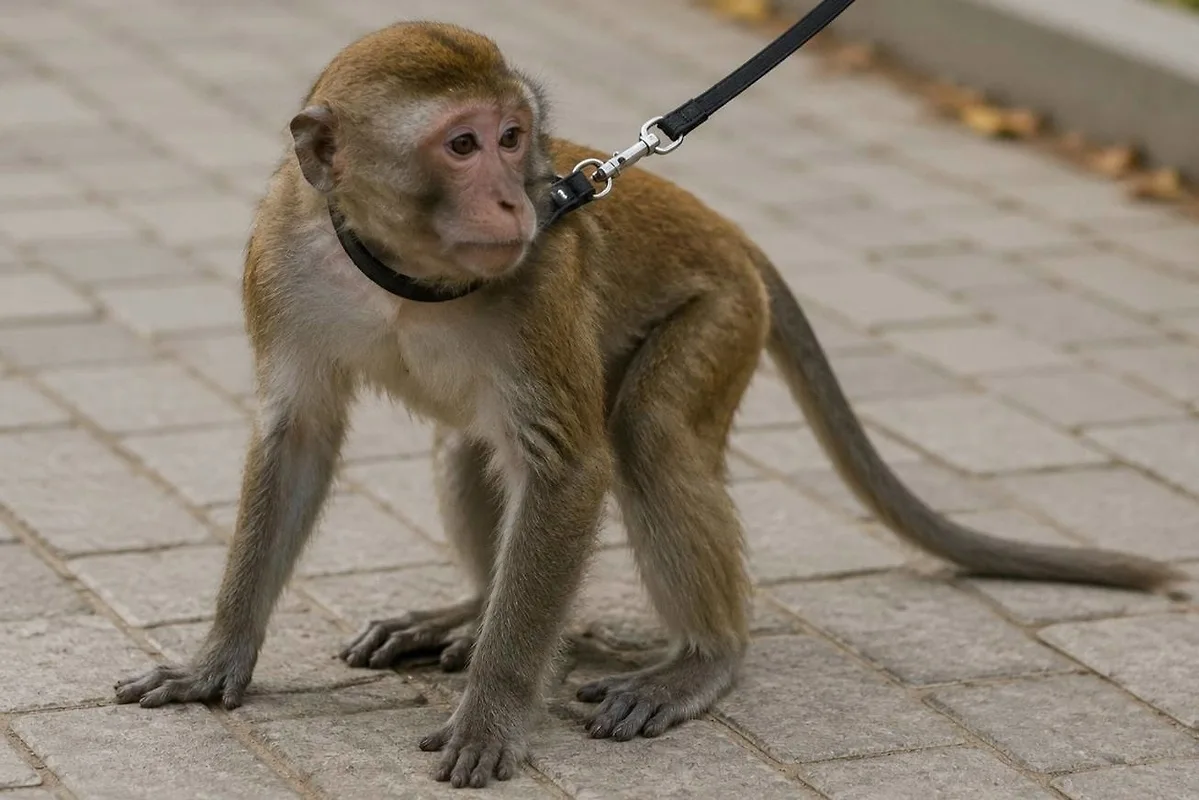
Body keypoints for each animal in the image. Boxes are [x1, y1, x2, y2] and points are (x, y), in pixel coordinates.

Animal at [113, 21, 1182, 789]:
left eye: (510, 138)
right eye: (461, 145)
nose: (518, 199)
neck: (400, 277)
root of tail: (737, 238)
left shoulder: (539, 281)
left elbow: (569, 468)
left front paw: (495, 711)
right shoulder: (279, 261)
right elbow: (297, 438)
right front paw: (217, 657)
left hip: (720, 317)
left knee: (648, 436)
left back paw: (697, 659)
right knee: (475, 447)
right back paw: (466, 611)